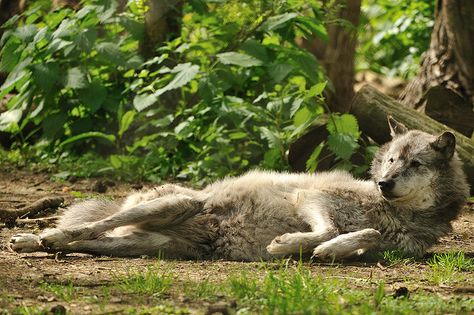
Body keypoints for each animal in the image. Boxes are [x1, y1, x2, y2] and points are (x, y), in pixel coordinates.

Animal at [8, 118, 470, 262]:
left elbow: (366, 235)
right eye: (391, 158)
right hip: (175, 203)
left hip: (152, 246)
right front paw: (291, 244)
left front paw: (324, 250)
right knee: (86, 227)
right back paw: (37, 237)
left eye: (415, 164)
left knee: (90, 241)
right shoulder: (312, 199)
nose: (384, 183)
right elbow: (336, 229)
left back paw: (40, 243)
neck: (391, 209)